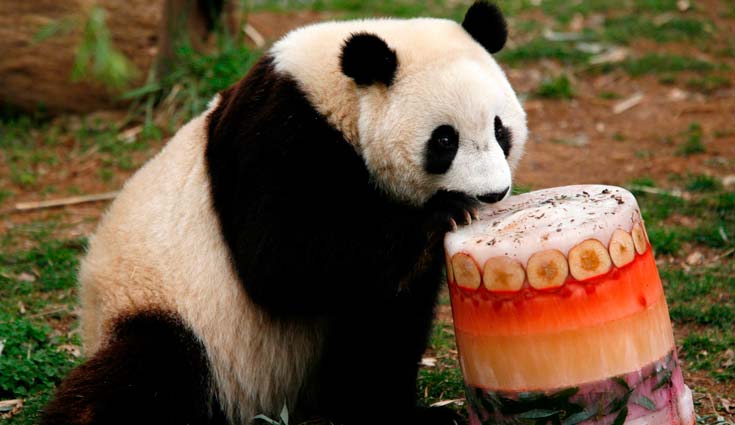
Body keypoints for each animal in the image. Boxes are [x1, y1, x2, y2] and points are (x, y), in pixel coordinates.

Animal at [41, 2, 527, 425]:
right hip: (162, 306)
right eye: (444, 140)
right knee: (149, 369)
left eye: (499, 129)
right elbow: (280, 261)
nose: (492, 193)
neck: (338, 96)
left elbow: (383, 323)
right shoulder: (279, 134)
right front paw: (445, 213)